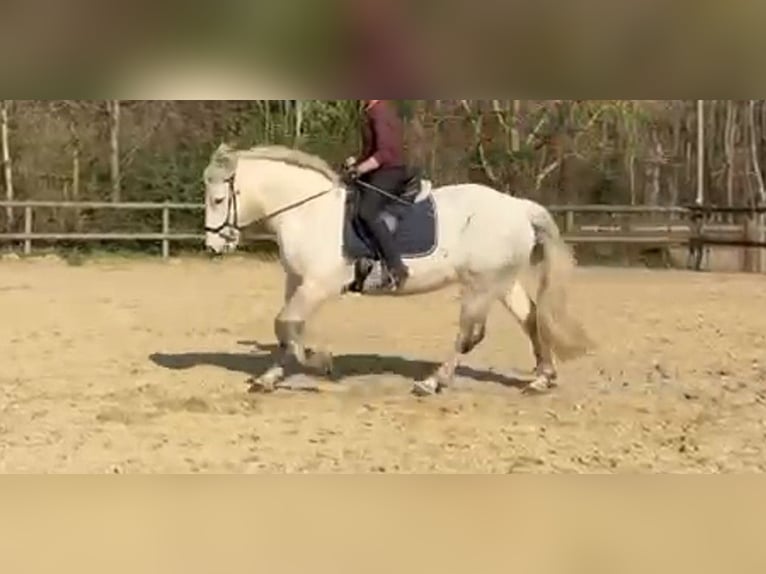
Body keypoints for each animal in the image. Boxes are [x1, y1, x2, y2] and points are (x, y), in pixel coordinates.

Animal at [203, 143, 593, 396]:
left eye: (219, 199)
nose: (214, 246)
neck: (308, 212)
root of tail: (518, 206)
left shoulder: (319, 284)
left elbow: (286, 325)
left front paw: (320, 363)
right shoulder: (296, 280)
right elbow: (286, 328)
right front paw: (269, 378)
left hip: (481, 284)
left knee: (469, 334)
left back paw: (432, 383)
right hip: (502, 280)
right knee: (530, 318)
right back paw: (542, 379)